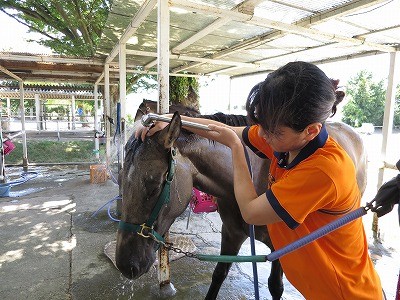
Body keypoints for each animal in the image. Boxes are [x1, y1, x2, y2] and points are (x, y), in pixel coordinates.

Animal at [114, 112, 368, 300]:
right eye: (120, 181)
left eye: (154, 186)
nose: (126, 265)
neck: (251, 180)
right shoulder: (231, 234)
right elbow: (218, 274)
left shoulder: (281, 248)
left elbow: (275, 286)